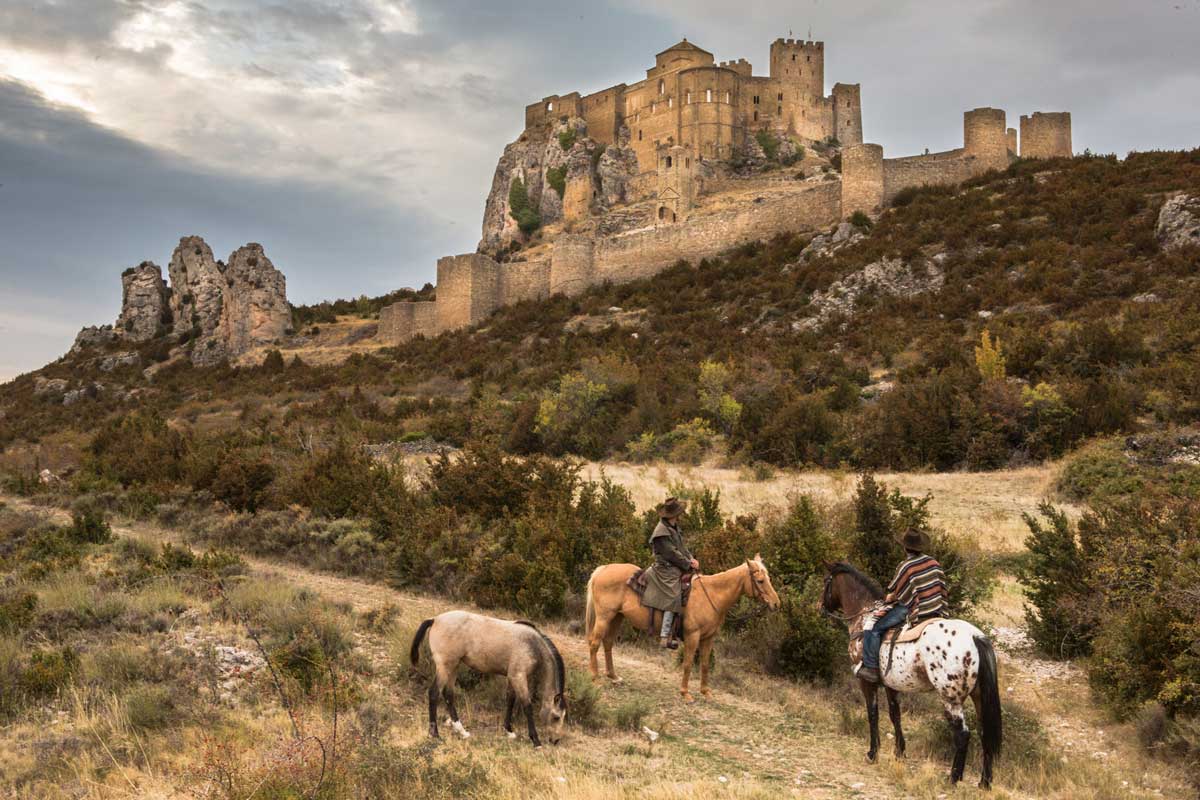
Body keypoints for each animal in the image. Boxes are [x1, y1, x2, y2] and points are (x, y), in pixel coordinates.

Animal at [408, 609, 566, 748]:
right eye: (556, 717)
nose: (556, 740)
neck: (532, 644)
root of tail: (435, 619)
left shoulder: (512, 677)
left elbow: (510, 699)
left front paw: (509, 731)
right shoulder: (519, 677)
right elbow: (527, 705)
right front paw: (536, 741)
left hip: (454, 666)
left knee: (448, 694)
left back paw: (462, 731)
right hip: (445, 667)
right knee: (434, 693)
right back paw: (434, 734)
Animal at [580, 554, 777, 705]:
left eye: (768, 579)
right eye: (760, 581)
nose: (776, 603)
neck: (711, 595)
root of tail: (603, 569)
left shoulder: (708, 638)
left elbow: (705, 664)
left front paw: (706, 692)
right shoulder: (693, 636)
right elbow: (688, 663)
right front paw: (685, 693)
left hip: (617, 617)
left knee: (608, 643)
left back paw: (613, 676)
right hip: (605, 617)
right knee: (595, 643)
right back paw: (594, 677)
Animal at [816, 563, 1003, 786]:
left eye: (826, 581)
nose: (820, 606)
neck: (863, 617)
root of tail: (975, 637)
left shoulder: (866, 681)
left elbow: (873, 714)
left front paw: (872, 753)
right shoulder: (891, 684)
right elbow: (894, 714)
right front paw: (899, 752)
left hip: (951, 698)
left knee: (963, 734)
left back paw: (953, 778)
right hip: (978, 696)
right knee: (985, 734)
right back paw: (985, 782)